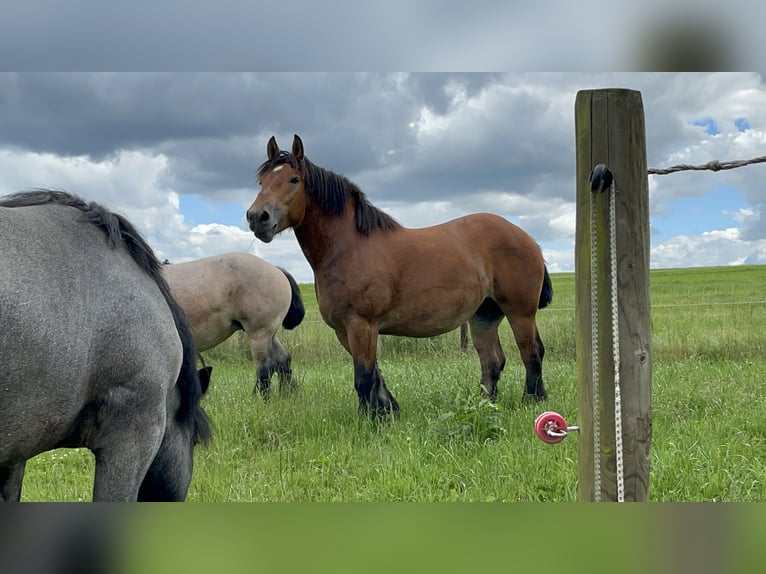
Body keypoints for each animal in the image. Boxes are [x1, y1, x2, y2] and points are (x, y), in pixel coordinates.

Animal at [163, 254, 306, 398]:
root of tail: (276, 269)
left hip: (259, 334)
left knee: (265, 368)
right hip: (270, 333)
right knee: (283, 360)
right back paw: (285, 395)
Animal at [249, 137, 556, 420]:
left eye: (294, 179)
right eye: (262, 180)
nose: (256, 217)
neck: (349, 247)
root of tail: (525, 237)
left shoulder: (361, 325)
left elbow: (364, 377)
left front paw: (373, 421)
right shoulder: (345, 330)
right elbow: (374, 374)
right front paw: (387, 411)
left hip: (520, 312)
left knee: (531, 352)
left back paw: (533, 400)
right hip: (484, 315)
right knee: (492, 361)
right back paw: (485, 406)